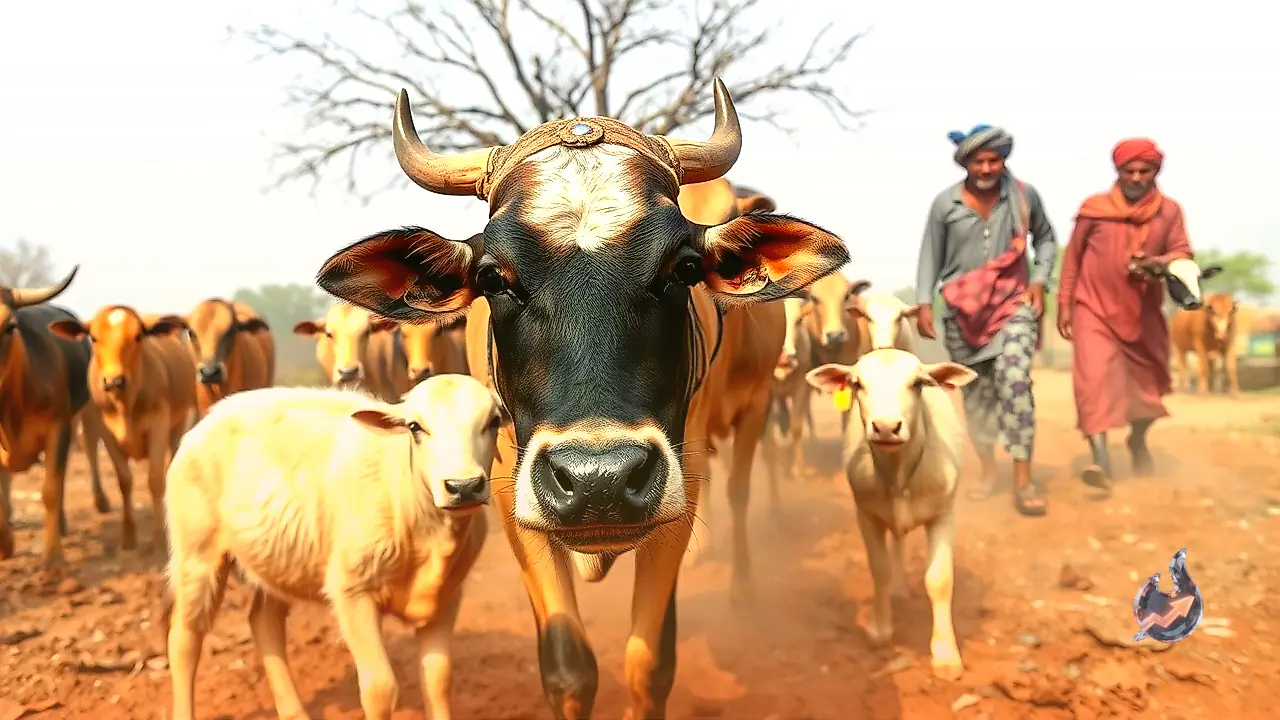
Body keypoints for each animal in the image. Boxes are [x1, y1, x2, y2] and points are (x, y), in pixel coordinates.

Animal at [50, 306, 198, 554]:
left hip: (177, 426)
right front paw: (128, 539)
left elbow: (155, 480)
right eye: (93, 337)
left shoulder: (159, 425)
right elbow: (124, 482)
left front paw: (160, 539)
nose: (114, 381)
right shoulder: (107, 433)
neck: (125, 405)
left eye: (138, 336)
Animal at [163, 373, 506, 720]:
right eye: (415, 427)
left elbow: (438, 680)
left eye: (493, 421)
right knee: (184, 637)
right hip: (197, 552)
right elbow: (380, 689)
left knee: (263, 622)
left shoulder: (447, 596)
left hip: (277, 555)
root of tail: (215, 414)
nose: (464, 486)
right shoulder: (351, 590)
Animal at [311, 79, 849, 719]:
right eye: (493, 278)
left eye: (684, 267)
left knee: (741, 492)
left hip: (757, 407)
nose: (600, 481)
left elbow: (649, 664)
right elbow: (569, 670)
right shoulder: (509, 489)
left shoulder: (680, 483)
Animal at [806, 349, 978, 681]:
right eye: (857, 384)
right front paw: (880, 629)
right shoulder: (865, 513)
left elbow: (939, 581)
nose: (886, 427)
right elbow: (880, 570)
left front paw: (945, 654)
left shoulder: (944, 514)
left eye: (918, 384)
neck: (898, 474)